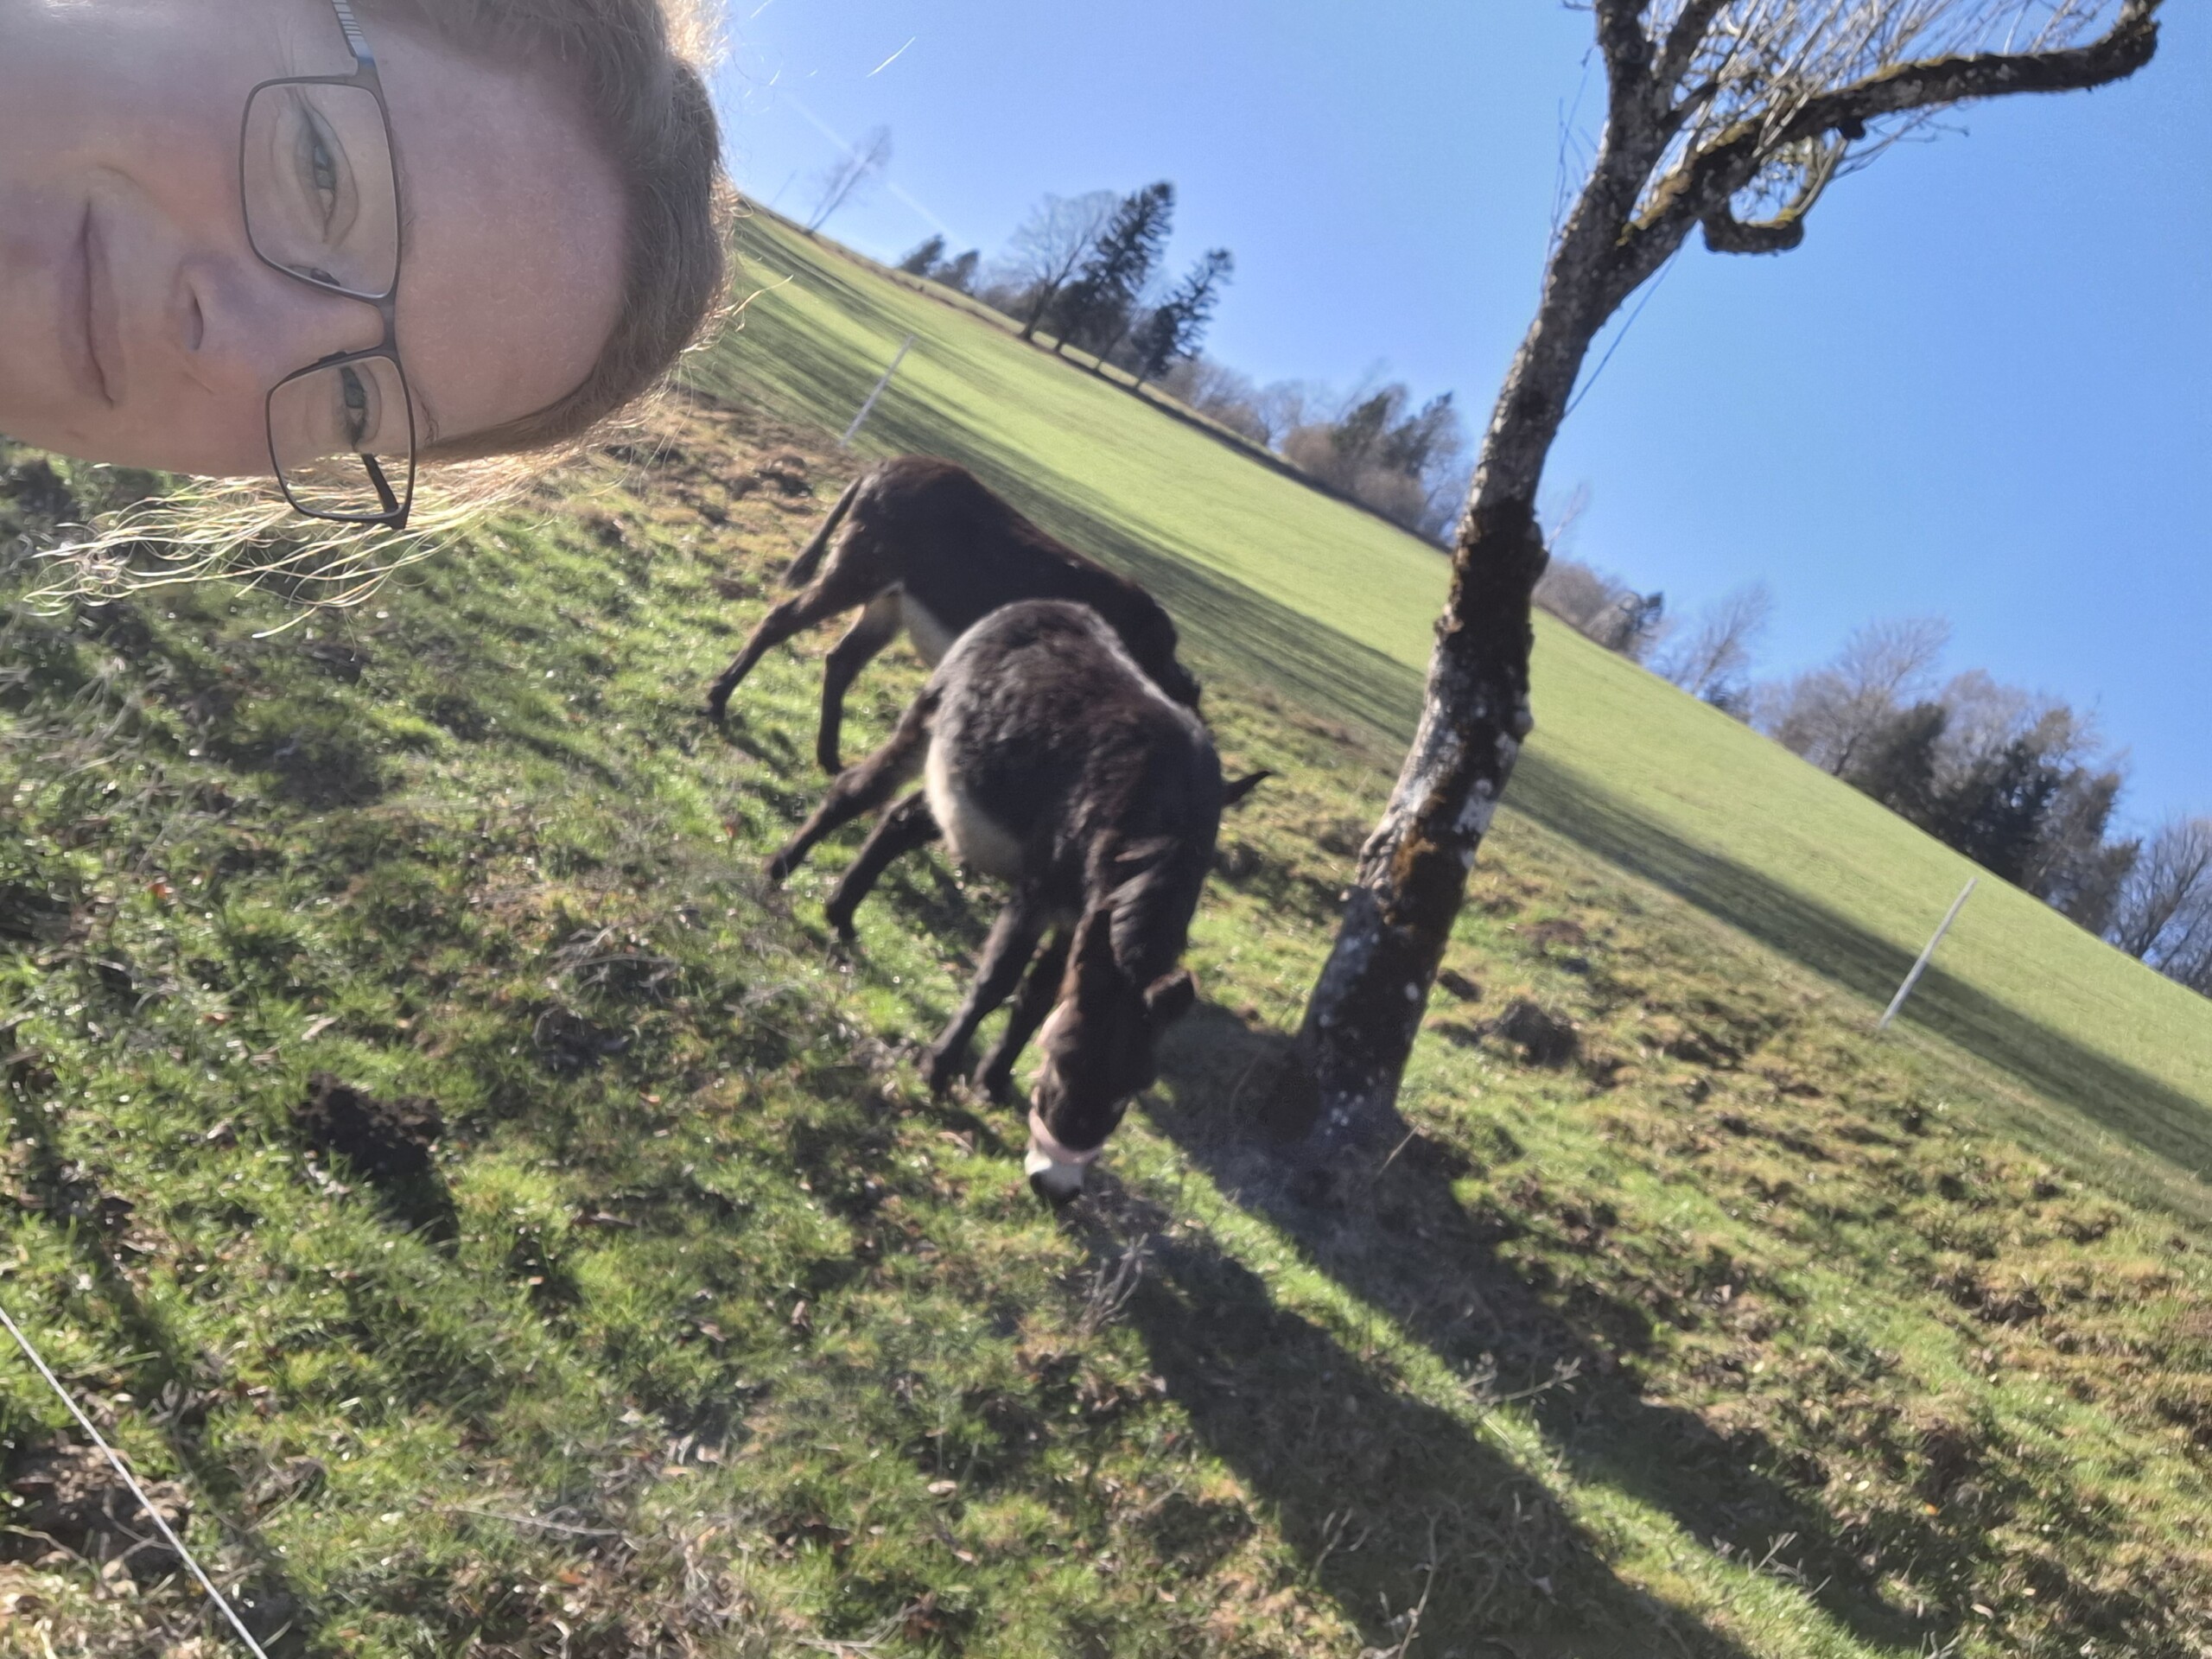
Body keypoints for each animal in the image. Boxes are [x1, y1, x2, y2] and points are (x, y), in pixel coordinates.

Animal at [702, 456, 1201, 772]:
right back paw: (717, 702)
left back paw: (829, 761)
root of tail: (883, 466)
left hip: (888, 603)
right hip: (859, 575)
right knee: (780, 620)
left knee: (841, 660)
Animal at [765, 599, 1260, 1200]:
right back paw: (779, 872)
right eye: (1065, 1063)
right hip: (929, 721)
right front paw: (938, 1070)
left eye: (1131, 1089)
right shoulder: (1039, 893)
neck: (1160, 823)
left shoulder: (1080, 918)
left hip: (962, 774)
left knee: (901, 819)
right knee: (856, 791)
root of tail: (1047, 605)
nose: (1057, 1188)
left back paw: (841, 912)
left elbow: (1039, 996)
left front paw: (992, 1081)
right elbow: (996, 981)